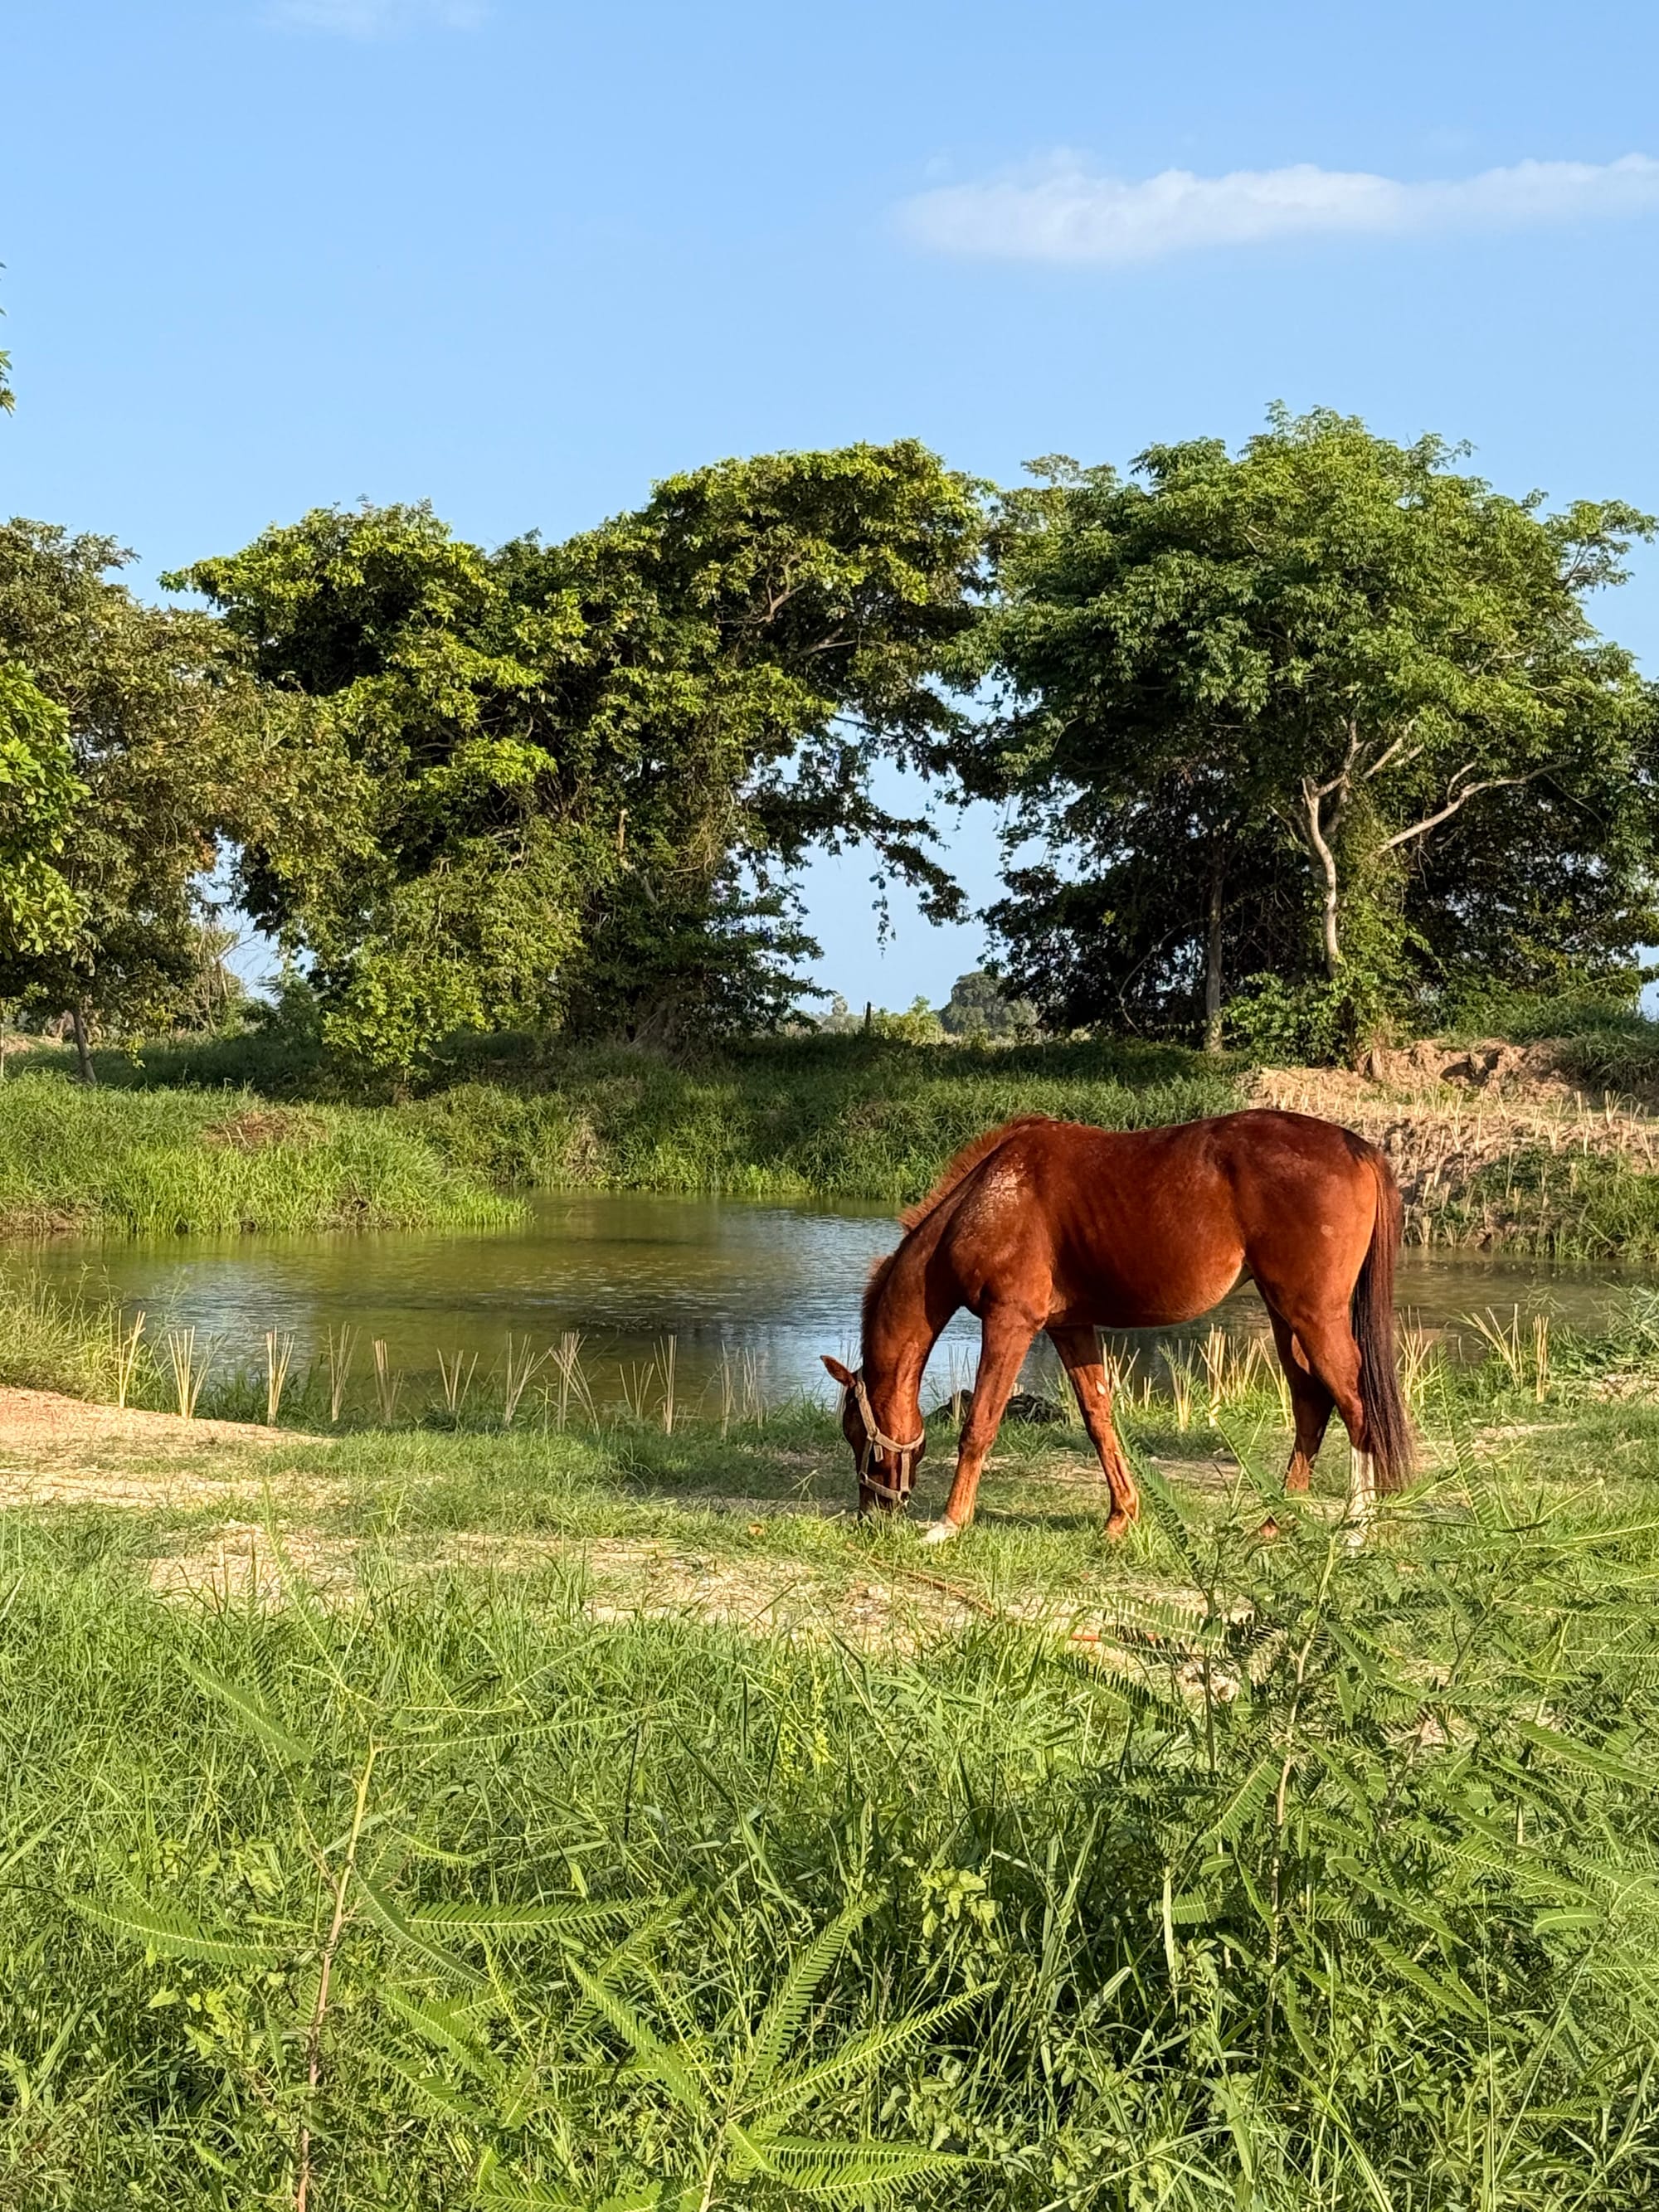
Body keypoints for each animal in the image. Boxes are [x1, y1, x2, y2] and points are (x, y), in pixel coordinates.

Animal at [821, 1110, 1411, 1543]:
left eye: (855, 1432)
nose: (872, 1514)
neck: (986, 1198)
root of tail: (1357, 1147)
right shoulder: (1070, 1327)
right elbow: (1098, 1418)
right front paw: (1121, 1515)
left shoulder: (1011, 1322)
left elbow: (980, 1424)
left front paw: (949, 1523)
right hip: (1284, 1316)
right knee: (1312, 1404)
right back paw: (1274, 1522)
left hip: (1313, 1316)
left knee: (1357, 1406)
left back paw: (1357, 1528)